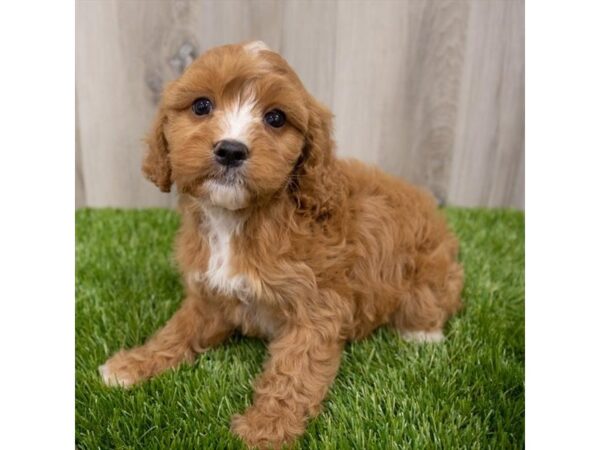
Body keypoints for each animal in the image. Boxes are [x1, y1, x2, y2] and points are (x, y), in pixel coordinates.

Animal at [99, 40, 464, 448]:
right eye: (201, 105)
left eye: (275, 118)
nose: (231, 150)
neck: (240, 219)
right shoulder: (210, 295)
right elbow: (178, 329)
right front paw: (135, 363)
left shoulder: (316, 309)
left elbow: (293, 372)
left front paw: (266, 428)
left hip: (430, 270)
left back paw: (422, 334)